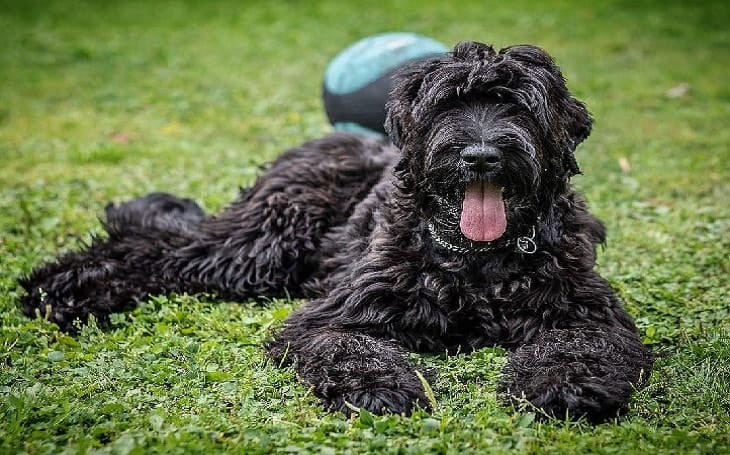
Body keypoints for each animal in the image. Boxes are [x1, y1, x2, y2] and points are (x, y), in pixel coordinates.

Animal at [19, 41, 652, 424]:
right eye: (448, 105)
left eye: (518, 106)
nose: (480, 155)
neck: (475, 261)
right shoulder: (335, 313)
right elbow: (346, 346)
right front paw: (380, 388)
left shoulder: (587, 311)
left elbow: (584, 345)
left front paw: (564, 384)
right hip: (261, 245)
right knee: (160, 248)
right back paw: (59, 288)